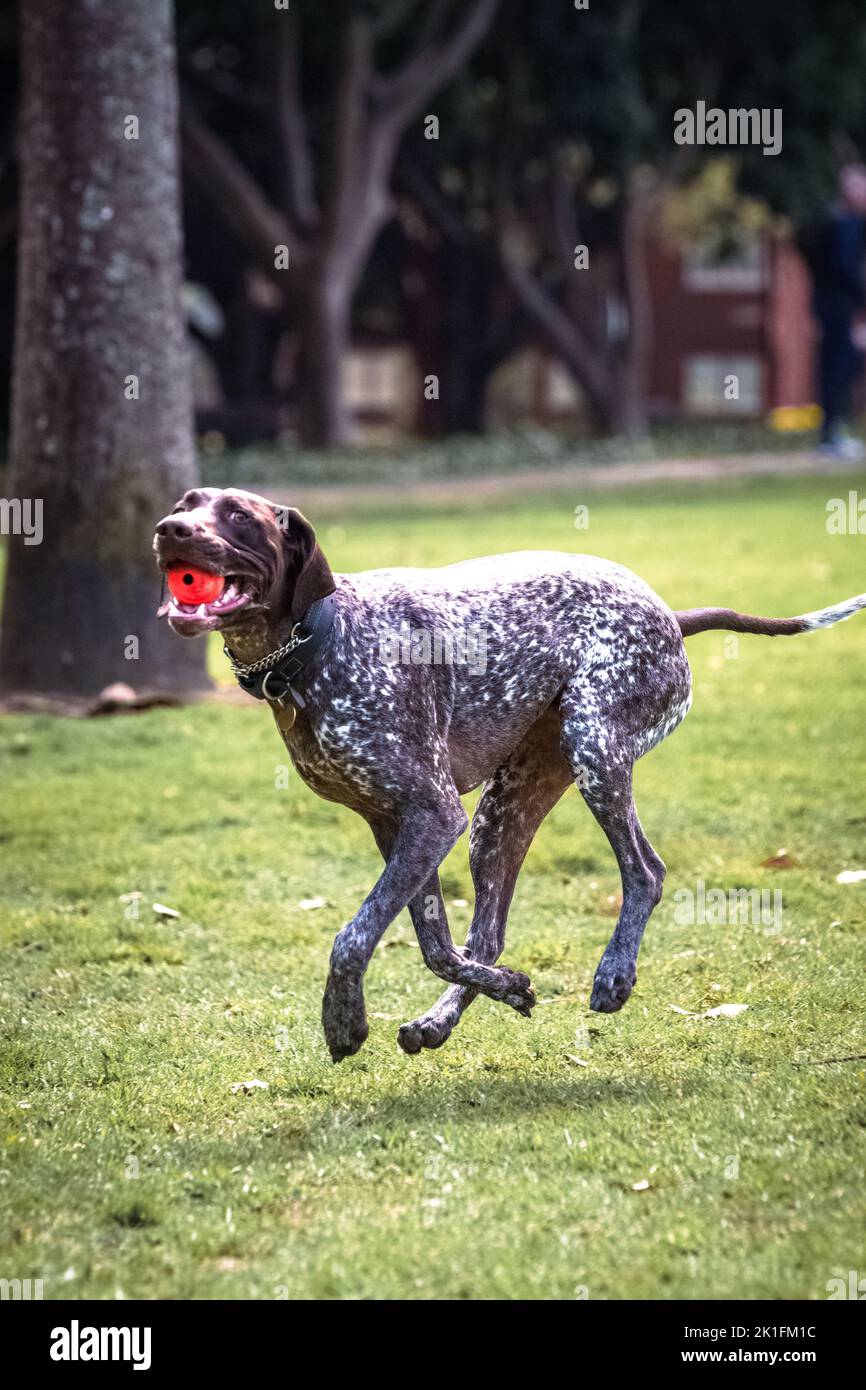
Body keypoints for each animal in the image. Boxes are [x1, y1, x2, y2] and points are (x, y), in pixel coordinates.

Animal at [155, 489, 866, 1061]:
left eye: (239, 516)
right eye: (187, 502)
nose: (169, 528)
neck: (317, 639)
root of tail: (668, 613)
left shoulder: (433, 815)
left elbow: (352, 937)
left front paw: (344, 1021)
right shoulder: (399, 826)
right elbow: (438, 947)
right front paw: (507, 991)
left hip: (595, 749)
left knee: (647, 871)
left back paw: (613, 975)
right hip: (500, 817)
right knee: (488, 937)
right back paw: (442, 1020)